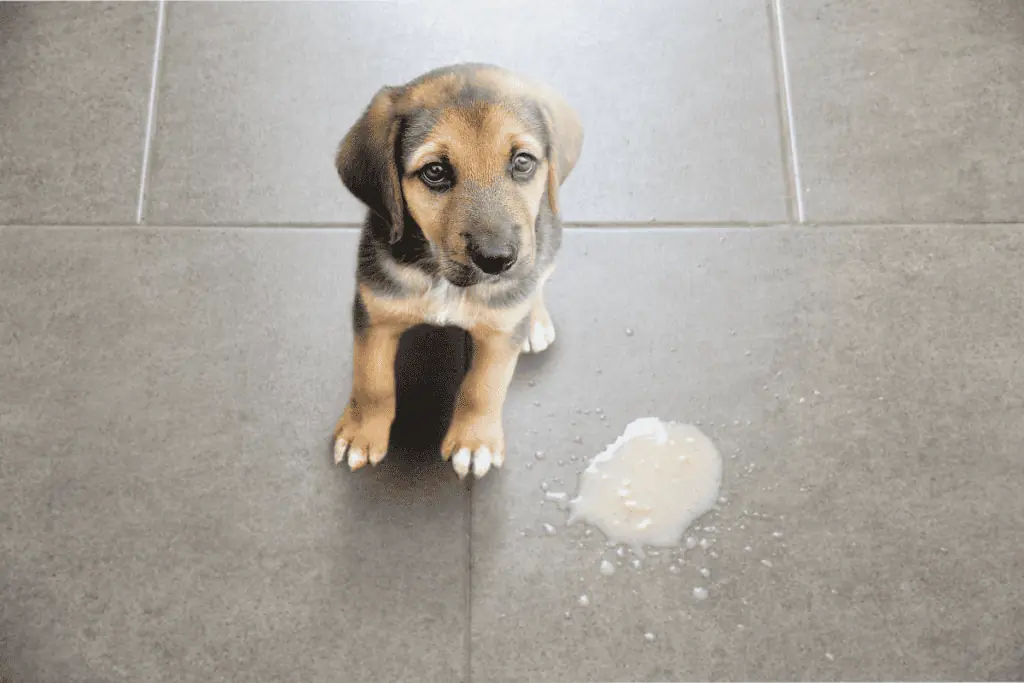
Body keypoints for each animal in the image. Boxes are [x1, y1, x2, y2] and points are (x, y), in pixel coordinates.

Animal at [331, 63, 581, 481]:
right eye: (435, 171)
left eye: (523, 161)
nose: (498, 259)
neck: (442, 278)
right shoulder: (374, 312)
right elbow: (372, 380)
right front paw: (361, 433)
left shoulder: (500, 333)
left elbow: (484, 387)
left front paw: (474, 442)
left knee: (538, 281)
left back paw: (535, 320)